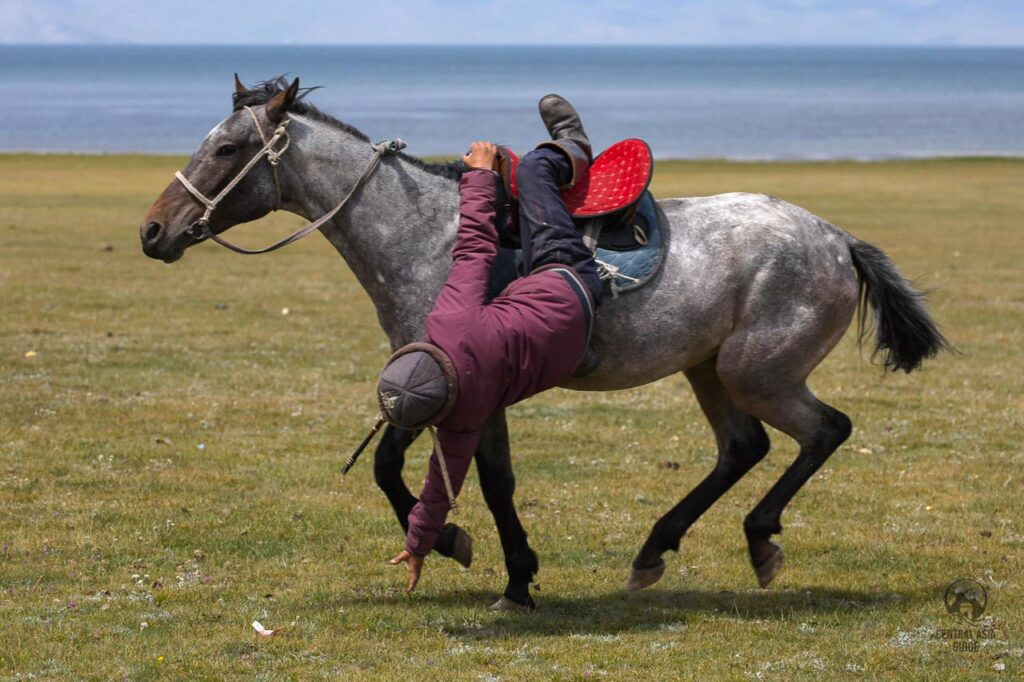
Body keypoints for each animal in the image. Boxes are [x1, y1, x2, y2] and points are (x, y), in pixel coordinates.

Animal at [140, 76, 946, 606]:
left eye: (229, 148)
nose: (152, 231)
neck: (426, 235)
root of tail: (837, 240)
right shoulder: (438, 383)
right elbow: (422, 471)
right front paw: (482, 557)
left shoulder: (460, 386)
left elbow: (461, 478)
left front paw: (493, 566)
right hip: (710, 370)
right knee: (743, 448)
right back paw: (655, 550)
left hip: (760, 373)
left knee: (824, 430)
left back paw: (757, 537)